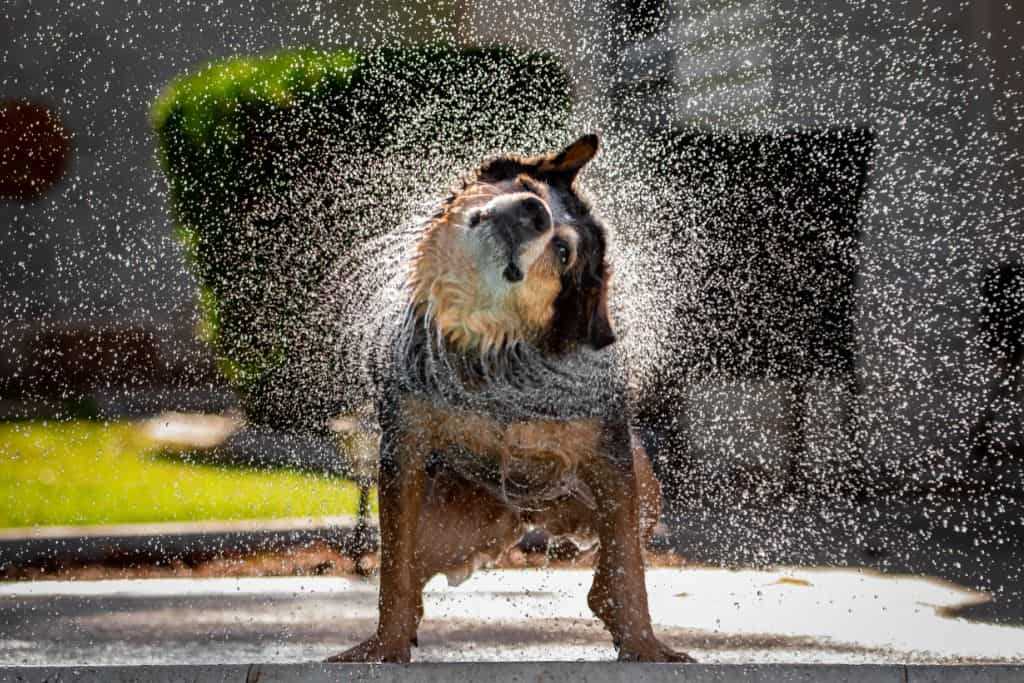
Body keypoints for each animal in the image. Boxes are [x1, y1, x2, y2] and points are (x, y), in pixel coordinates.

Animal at [327, 133, 696, 663]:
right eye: (527, 187)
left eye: (562, 251)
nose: (534, 210)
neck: (489, 352)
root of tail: (524, 516)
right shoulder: (404, 448)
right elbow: (394, 569)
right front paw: (385, 646)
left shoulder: (612, 457)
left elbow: (628, 567)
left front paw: (644, 646)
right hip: (451, 528)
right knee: (413, 571)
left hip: (641, 488)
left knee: (615, 560)